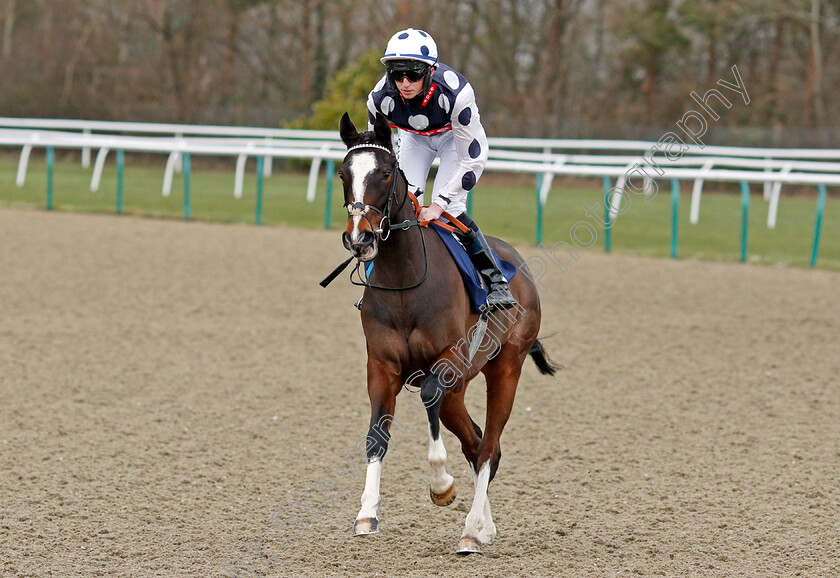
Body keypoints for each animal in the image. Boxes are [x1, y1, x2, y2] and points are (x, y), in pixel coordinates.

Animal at [334, 110, 556, 552]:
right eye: (343, 173)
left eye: (385, 172)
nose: (359, 237)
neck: (405, 282)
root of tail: (520, 266)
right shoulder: (381, 365)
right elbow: (376, 435)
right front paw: (366, 514)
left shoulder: (447, 362)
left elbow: (429, 399)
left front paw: (441, 486)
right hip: (462, 388)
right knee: (476, 442)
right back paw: (485, 526)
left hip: (506, 367)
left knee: (489, 446)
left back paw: (472, 529)